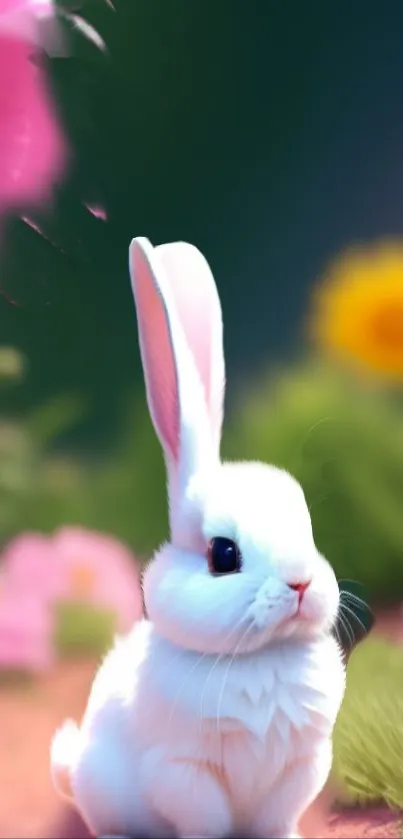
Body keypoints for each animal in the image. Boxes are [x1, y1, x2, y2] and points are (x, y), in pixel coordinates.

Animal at [51, 238, 348, 839]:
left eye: (307, 527)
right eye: (223, 554)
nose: (301, 583)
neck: (259, 661)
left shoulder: (303, 766)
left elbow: (279, 818)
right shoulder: (182, 772)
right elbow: (206, 819)